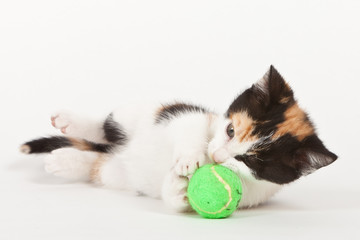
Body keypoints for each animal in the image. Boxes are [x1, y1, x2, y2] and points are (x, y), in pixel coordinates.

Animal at [20, 66, 338, 212]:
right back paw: (70, 121)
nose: (218, 157)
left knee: (99, 165)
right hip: (141, 111)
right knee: (107, 125)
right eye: (230, 131)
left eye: (249, 161)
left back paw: (64, 161)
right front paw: (188, 159)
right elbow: (190, 126)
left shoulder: (254, 193)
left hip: (118, 173)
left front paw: (179, 191)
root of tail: (122, 151)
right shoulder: (194, 116)